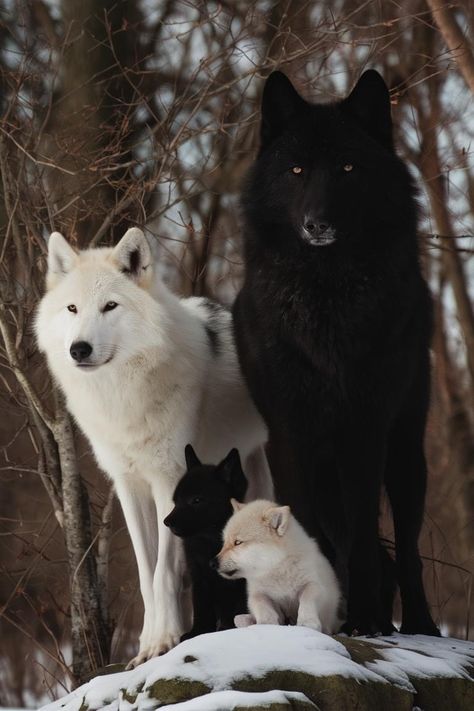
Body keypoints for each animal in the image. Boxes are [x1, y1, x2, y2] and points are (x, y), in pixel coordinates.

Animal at [164, 444, 248, 640]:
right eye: (175, 501)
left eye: (196, 500)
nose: (166, 522)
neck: (211, 542)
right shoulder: (199, 579)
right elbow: (201, 609)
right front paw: (198, 632)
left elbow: (240, 608)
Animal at [215, 500, 340, 636]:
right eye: (225, 542)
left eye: (238, 542)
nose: (213, 563)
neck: (277, 568)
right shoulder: (257, 594)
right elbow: (260, 604)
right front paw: (267, 624)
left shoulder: (314, 585)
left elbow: (307, 598)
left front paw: (307, 622)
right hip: (239, 617)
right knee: (239, 619)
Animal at [232, 67, 436, 636]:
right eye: (296, 170)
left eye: (347, 167)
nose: (316, 223)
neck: (325, 300)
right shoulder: (289, 433)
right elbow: (304, 524)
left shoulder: (365, 429)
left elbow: (366, 535)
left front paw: (365, 619)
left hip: (407, 452)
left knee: (406, 550)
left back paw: (418, 623)